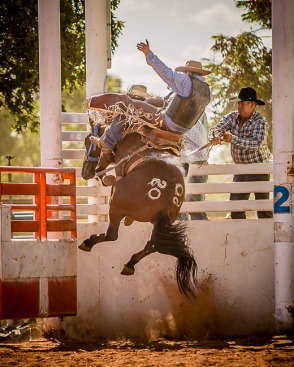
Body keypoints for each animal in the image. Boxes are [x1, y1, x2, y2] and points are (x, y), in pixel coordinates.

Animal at [80, 102, 198, 300]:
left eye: (87, 141)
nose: (85, 172)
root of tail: (167, 195)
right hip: (159, 221)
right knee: (152, 245)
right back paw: (129, 265)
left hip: (116, 205)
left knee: (112, 234)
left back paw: (88, 243)